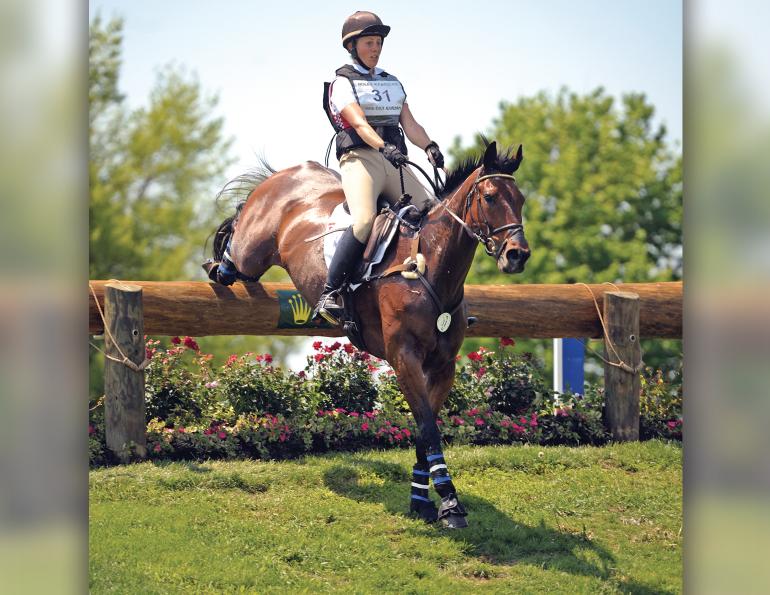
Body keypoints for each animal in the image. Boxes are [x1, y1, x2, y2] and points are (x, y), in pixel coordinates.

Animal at [208, 140, 530, 528]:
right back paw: (220, 263)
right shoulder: (404, 358)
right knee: (236, 246)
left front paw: (421, 500)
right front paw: (451, 502)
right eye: (491, 197)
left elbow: (424, 429)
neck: (429, 268)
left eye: (521, 199)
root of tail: (285, 174)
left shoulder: (442, 367)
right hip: (252, 253)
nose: (518, 255)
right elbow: (428, 427)